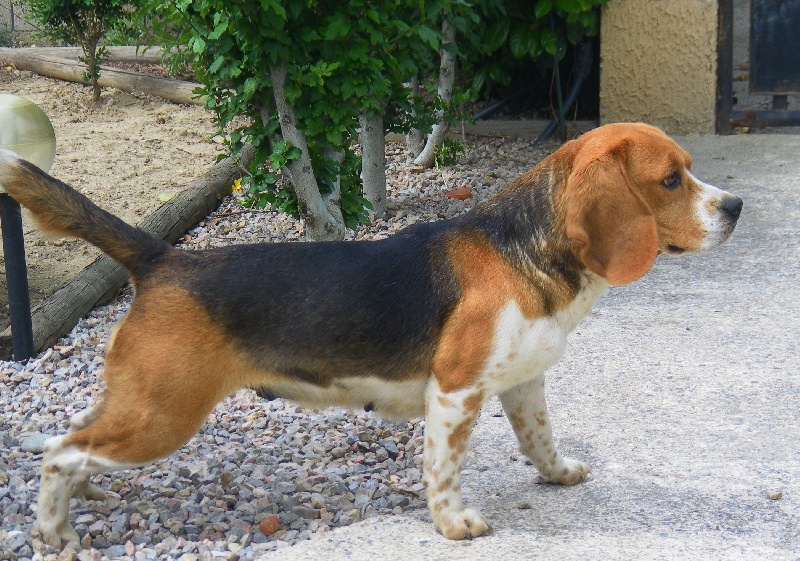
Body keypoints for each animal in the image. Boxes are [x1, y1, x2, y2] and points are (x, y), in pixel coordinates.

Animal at [0, 123, 744, 548]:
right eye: (669, 179)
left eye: (689, 169)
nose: (736, 206)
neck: (526, 245)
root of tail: (162, 257)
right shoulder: (456, 391)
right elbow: (443, 470)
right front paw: (453, 525)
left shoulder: (524, 382)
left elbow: (540, 438)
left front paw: (558, 474)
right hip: (162, 416)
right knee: (58, 453)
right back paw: (52, 530)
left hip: (140, 404)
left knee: (75, 438)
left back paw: (85, 499)